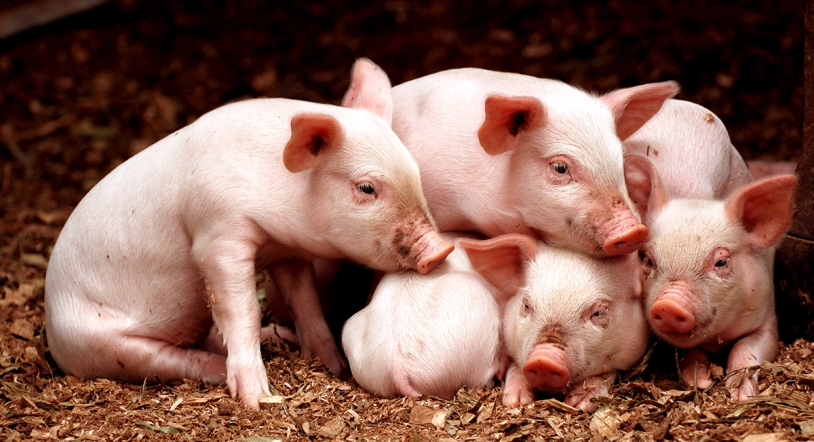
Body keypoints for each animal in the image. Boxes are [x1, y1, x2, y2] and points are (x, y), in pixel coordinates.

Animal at [44, 58, 453, 410]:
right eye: (366, 188)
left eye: (415, 172)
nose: (441, 249)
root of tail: (51, 327)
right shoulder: (217, 237)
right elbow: (241, 309)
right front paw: (256, 399)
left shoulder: (288, 250)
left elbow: (306, 303)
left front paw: (332, 365)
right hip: (103, 345)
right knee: (167, 360)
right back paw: (218, 369)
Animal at [622, 101, 796, 400]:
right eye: (648, 260)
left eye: (721, 262)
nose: (668, 305)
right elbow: (690, 354)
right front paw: (701, 382)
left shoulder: (768, 316)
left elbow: (748, 350)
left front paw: (741, 394)